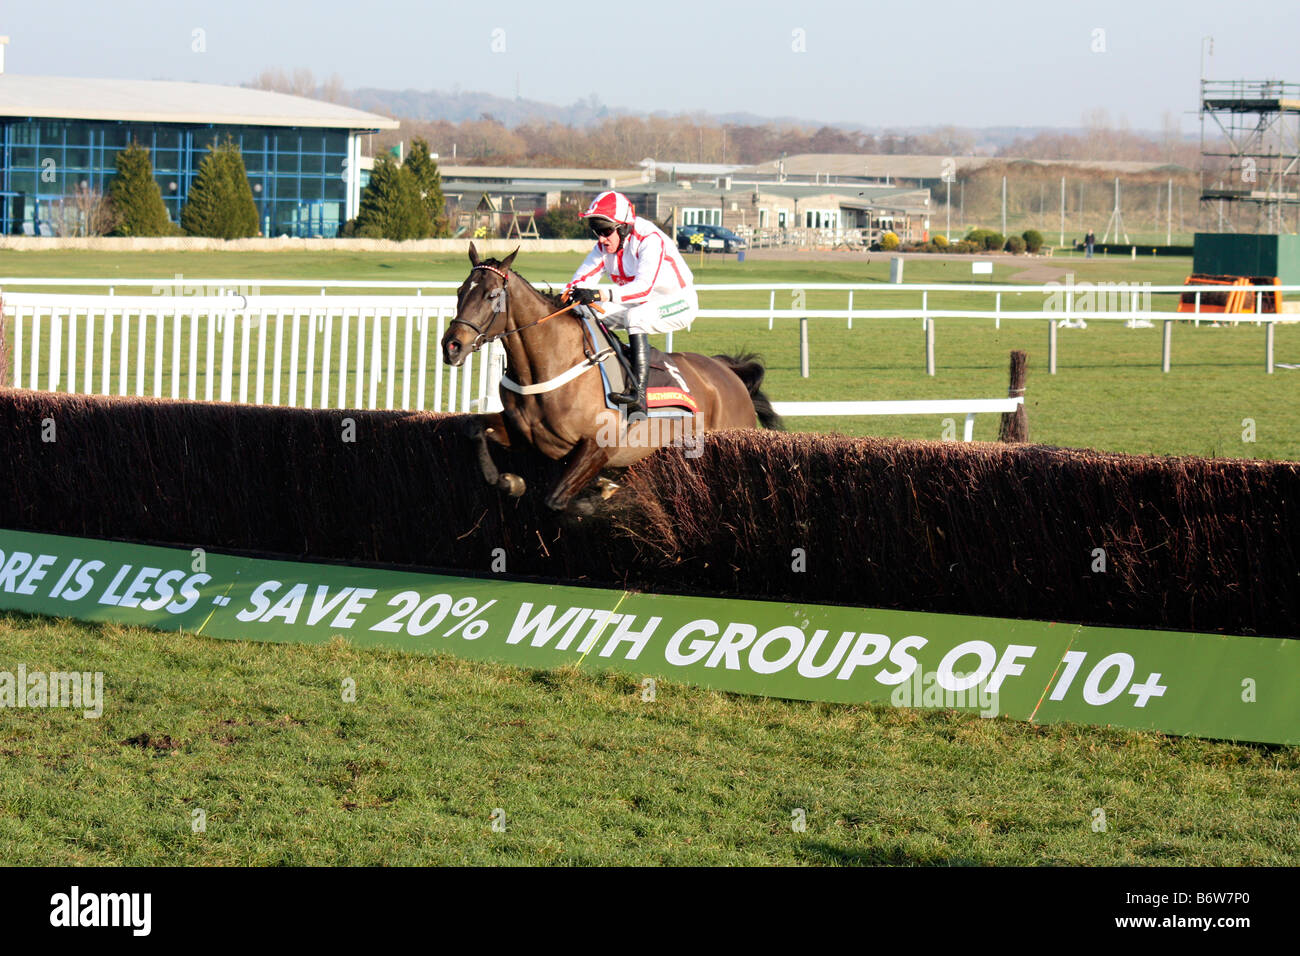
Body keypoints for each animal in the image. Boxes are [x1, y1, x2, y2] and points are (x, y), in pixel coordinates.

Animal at [436, 247, 780, 512]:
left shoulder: (600, 443)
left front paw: (600, 493)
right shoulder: (524, 433)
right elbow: (474, 428)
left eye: (491, 294)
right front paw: (511, 481)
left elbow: (554, 499)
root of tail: (727, 372)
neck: (549, 364)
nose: (451, 346)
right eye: (459, 291)